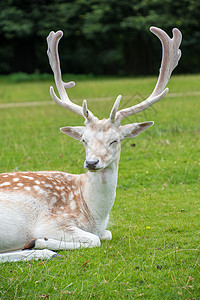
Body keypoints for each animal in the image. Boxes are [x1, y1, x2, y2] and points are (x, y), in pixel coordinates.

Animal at [0, 27, 181, 262]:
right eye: (84, 140)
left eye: (115, 140)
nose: (92, 163)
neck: (94, 215)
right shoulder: (52, 222)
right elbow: (94, 239)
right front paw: (39, 241)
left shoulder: (102, 228)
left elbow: (106, 234)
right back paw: (42, 249)